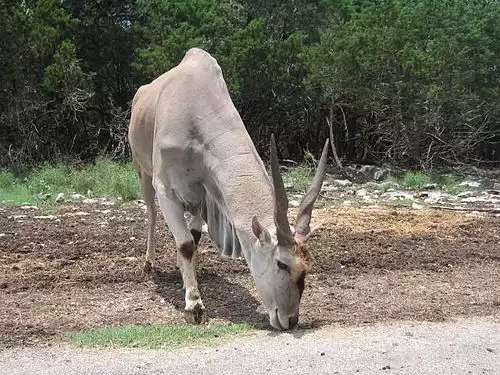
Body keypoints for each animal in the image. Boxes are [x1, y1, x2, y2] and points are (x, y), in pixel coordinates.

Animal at [129, 47, 328, 332]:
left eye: (307, 267)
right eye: (281, 263)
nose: (290, 320)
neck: (195, 107)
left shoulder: (205, 194)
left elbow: (193, 238)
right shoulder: (166, 190)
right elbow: (185, 243)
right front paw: (194, 306)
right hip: (142, 171)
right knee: (151, 215)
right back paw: (149, 265)